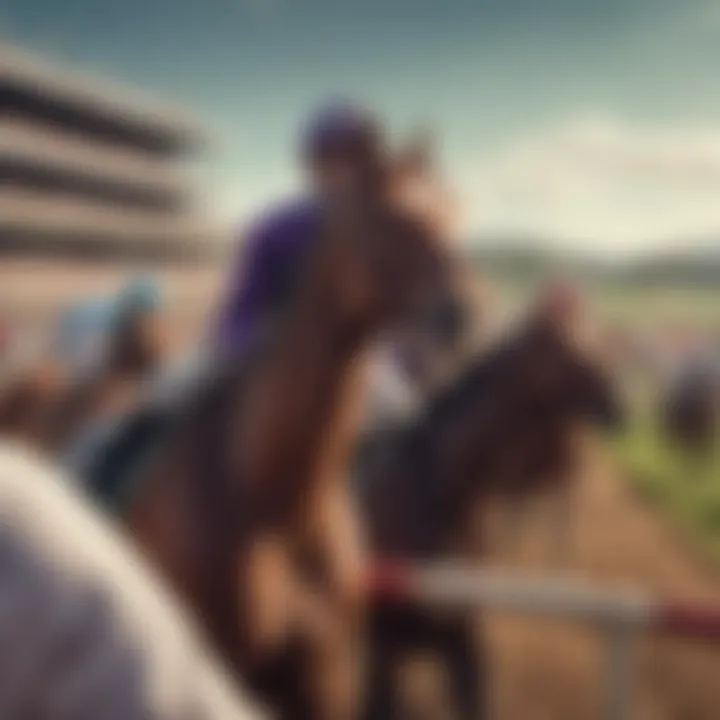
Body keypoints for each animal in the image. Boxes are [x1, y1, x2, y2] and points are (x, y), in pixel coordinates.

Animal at [360, 288, 624, 720]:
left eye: (595, 332)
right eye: (562, 344)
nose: (619, 404)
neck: (438, 492)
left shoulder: (461, 640)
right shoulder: (387, 644)